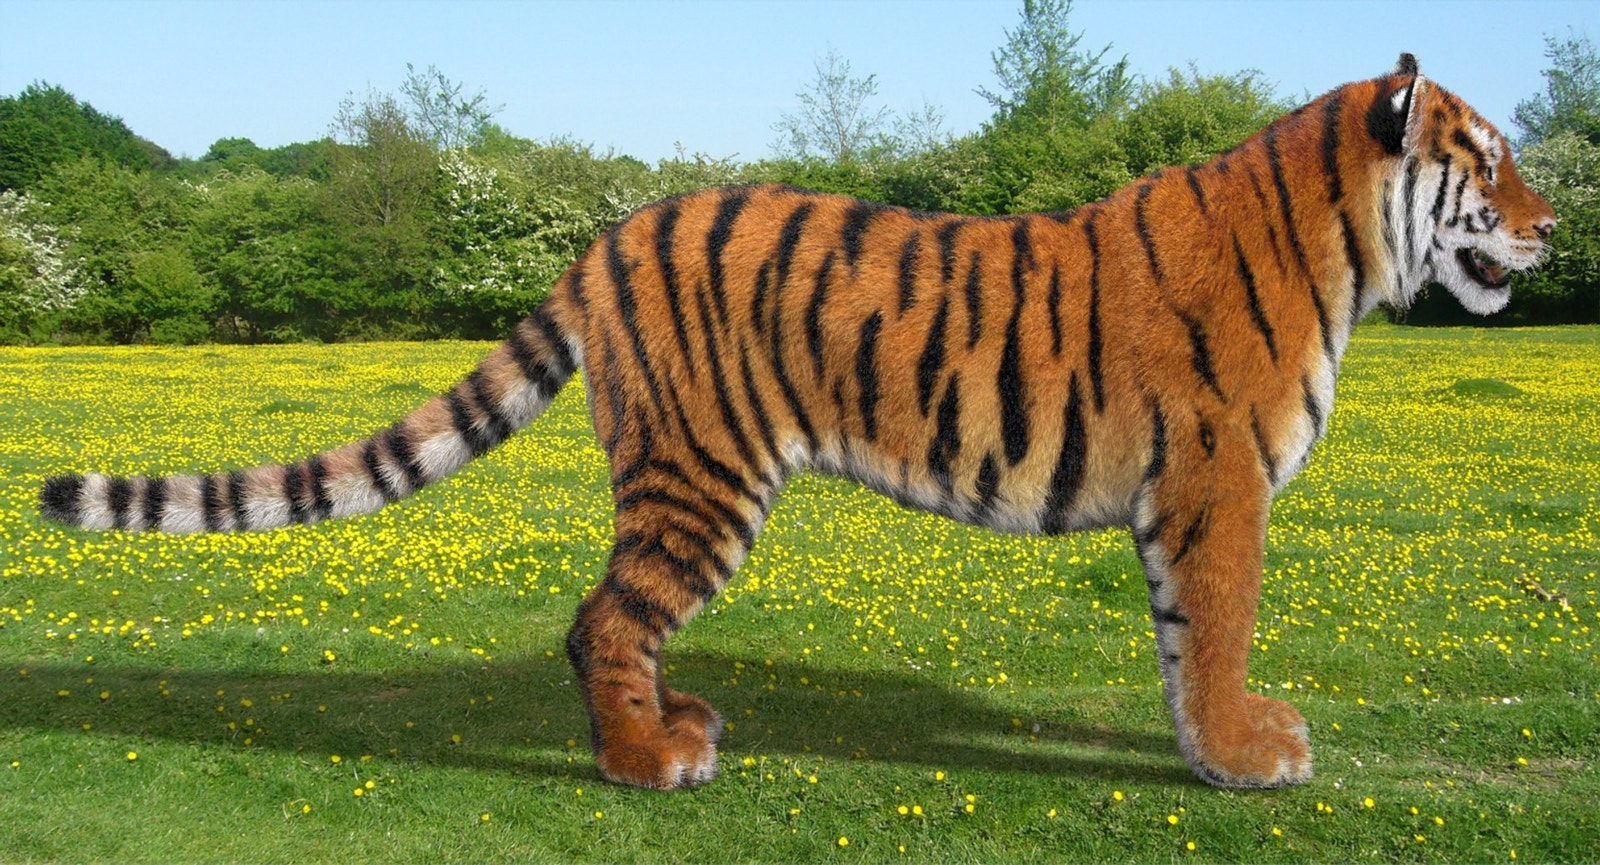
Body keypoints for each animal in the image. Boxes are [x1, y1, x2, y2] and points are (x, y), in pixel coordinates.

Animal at [40, 54, 1555, 790]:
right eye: (1485, 161)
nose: (1550, 226)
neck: (1347, 252)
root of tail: (607, 232)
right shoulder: (1215, 481)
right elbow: (1220, 624)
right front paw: (1248, 757)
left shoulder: (1190, 494)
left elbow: (1188, 642)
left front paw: (1212, 747)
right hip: (702, 475)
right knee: (601, 617)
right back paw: (647, 762)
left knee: (613, 621)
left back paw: (672, 722)